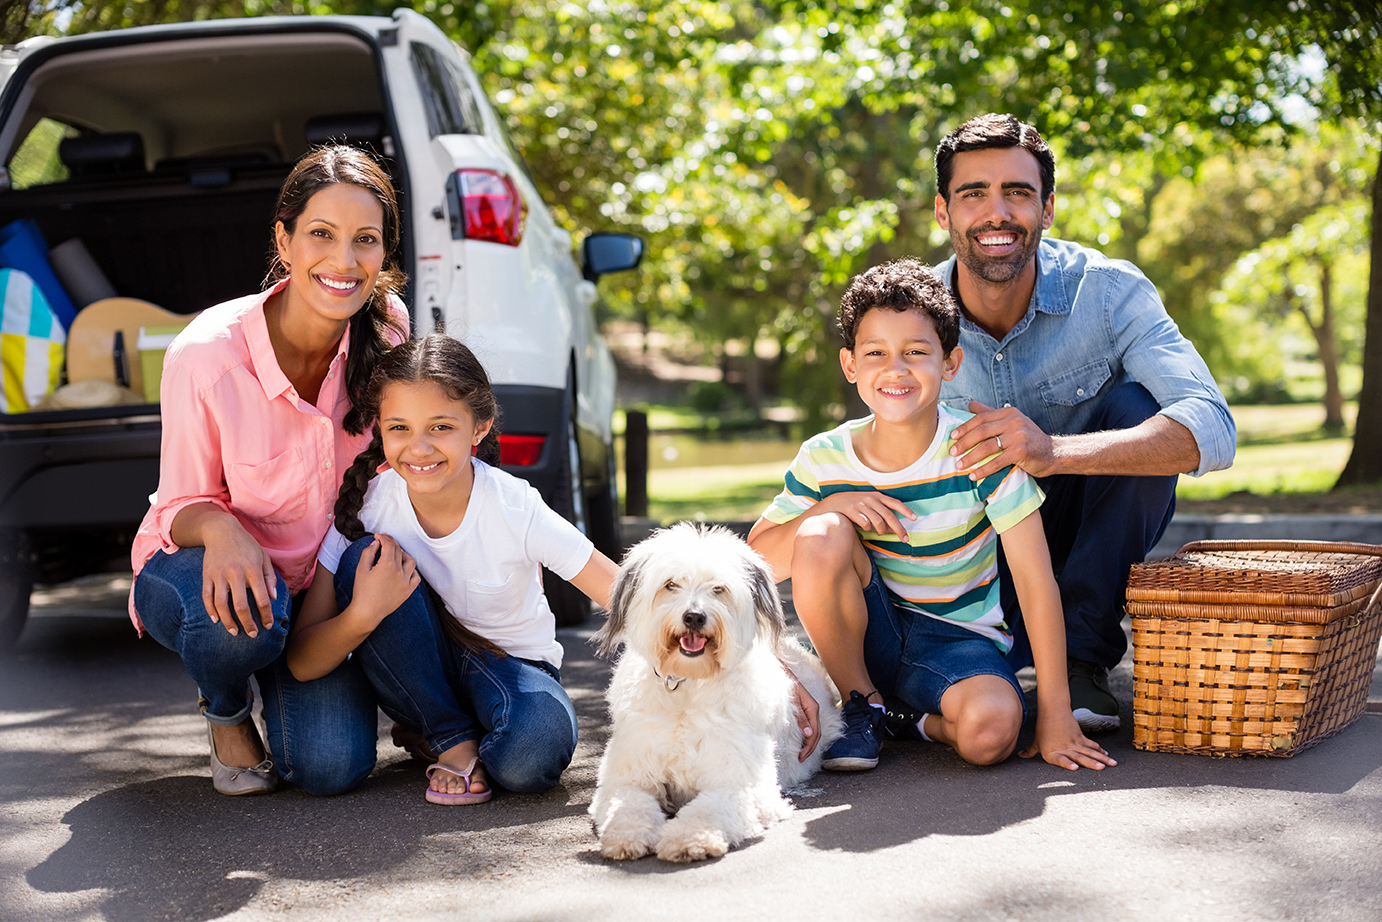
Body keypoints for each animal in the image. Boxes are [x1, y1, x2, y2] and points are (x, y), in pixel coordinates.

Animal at [585, 525, 840, 868]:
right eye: (671, 584)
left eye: (718, 588)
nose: (694, 617)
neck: (688, 686)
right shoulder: (626, 778)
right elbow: (628, 806)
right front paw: (626, 837)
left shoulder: (739, 784)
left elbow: (708, 810)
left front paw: (690, 839)